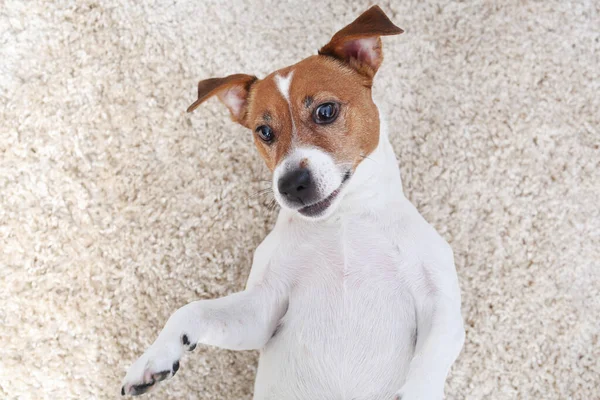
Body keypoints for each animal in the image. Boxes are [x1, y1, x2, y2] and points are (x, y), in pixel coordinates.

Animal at [123, 5, 464, 396]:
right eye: (264, 131)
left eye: (326, 111)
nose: (291, 184)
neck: (344, 220)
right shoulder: (262, 311)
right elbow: (192, 310)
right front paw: (153, 358)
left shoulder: (441, 307)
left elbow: (430, 360)